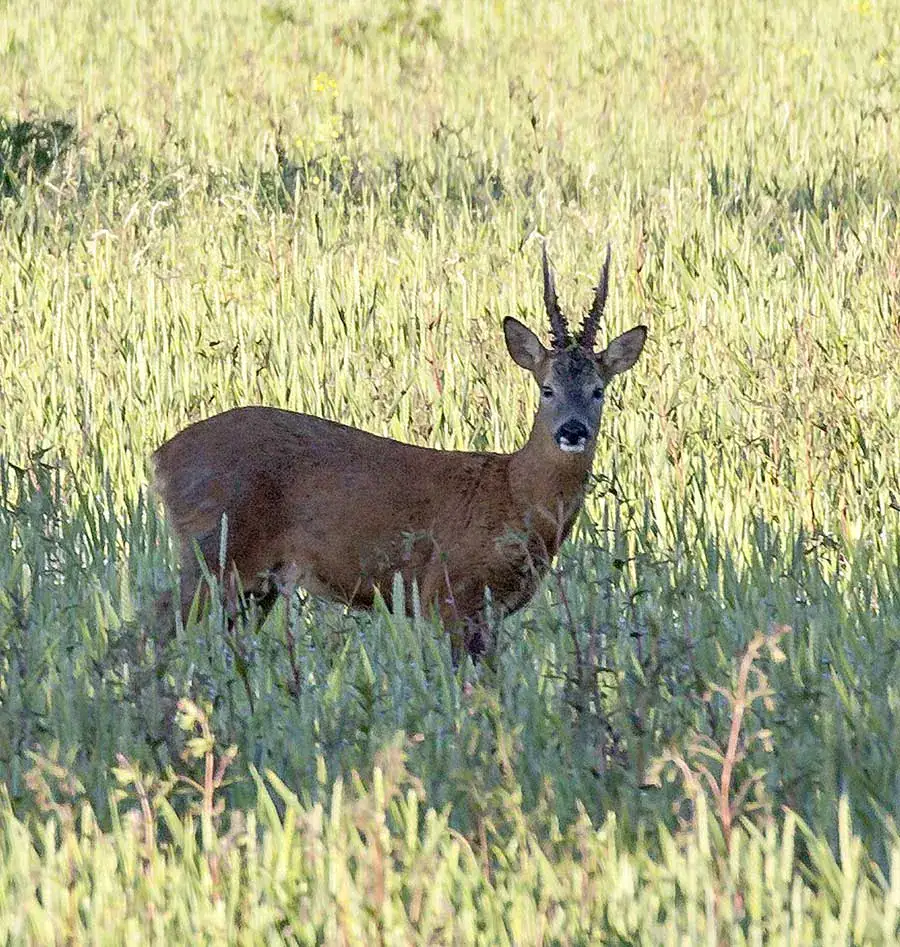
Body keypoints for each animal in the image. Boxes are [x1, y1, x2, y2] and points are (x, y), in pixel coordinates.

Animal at [152, 247, 647, 662]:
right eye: (547, 389)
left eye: (598, 390)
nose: (572, 430)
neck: (515, 493)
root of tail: (162, 457)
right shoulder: (449, 590)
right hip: (214, 546)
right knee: (153, 623)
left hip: (254, 580)